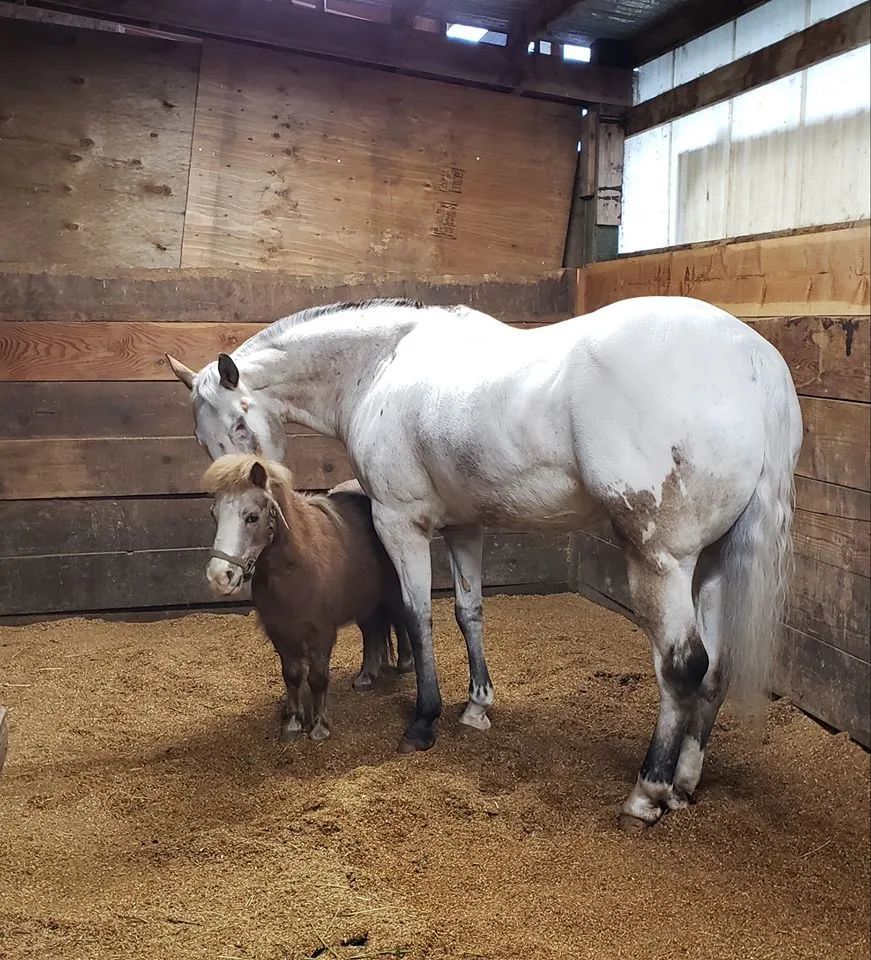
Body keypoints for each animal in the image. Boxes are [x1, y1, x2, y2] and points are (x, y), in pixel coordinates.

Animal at [204, 458, 412, 744]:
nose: (219, 577)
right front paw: (293, 722)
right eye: (214, 514)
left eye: (252, 517)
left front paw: (319, 727)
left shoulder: (321, 633)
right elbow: (291, 675)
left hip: (393, 593)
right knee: (371, 632)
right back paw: (366, 677)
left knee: (400, 621)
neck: (296, 567)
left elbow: (317, 678)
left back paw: (405, 663)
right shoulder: (280, 631)